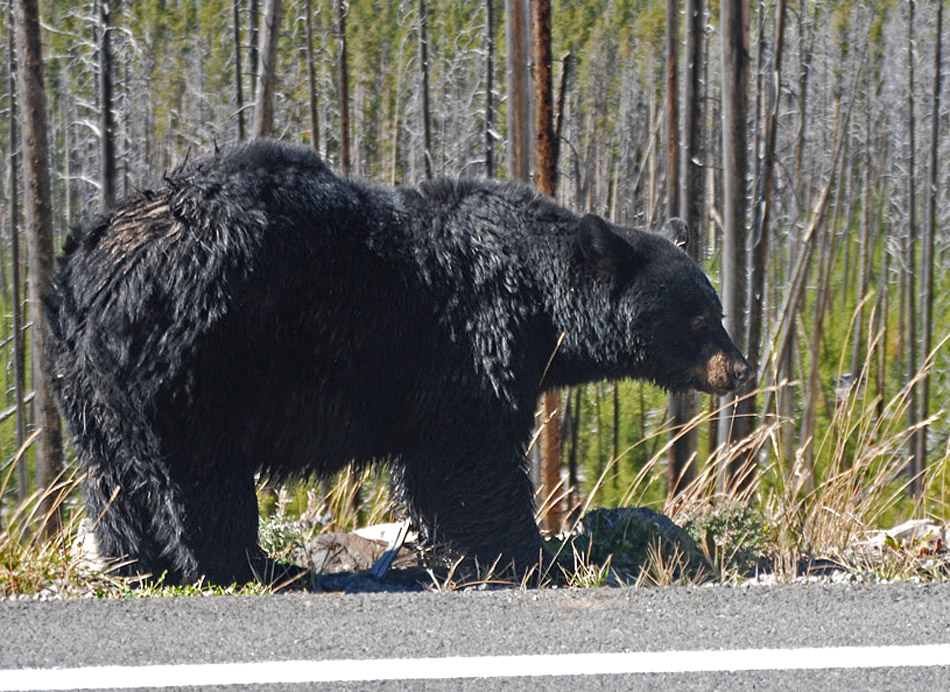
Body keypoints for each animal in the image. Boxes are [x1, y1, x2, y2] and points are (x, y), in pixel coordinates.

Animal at [46, 139, 752, 584]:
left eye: (715, 308)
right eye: (698, 317)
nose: (740, 369)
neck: (539, 300)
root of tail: (88, 269)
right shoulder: (469, 345)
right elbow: (471, 457)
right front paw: (530, 556)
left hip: (88, 385)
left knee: (115, 479)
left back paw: (139, 563)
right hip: (196, 360)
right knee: (200, 475)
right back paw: (251, 566)